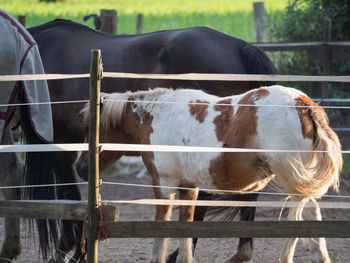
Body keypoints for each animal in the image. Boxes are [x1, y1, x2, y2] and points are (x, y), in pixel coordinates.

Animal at [27, 19, 274, 263]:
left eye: (90, 127)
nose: (82, 167)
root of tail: (243, 48)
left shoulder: (58, 142)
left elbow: (69, 195)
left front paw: (71, 250)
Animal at [76, 85, 342, 263]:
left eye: (89, 128)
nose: (79, 167)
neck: (156, 117)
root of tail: (303, 104)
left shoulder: (163, 186)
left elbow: (160, 240)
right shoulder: (188, 189)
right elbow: (185, 237)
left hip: (292, 178)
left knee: (297, 214)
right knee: (311, 212)